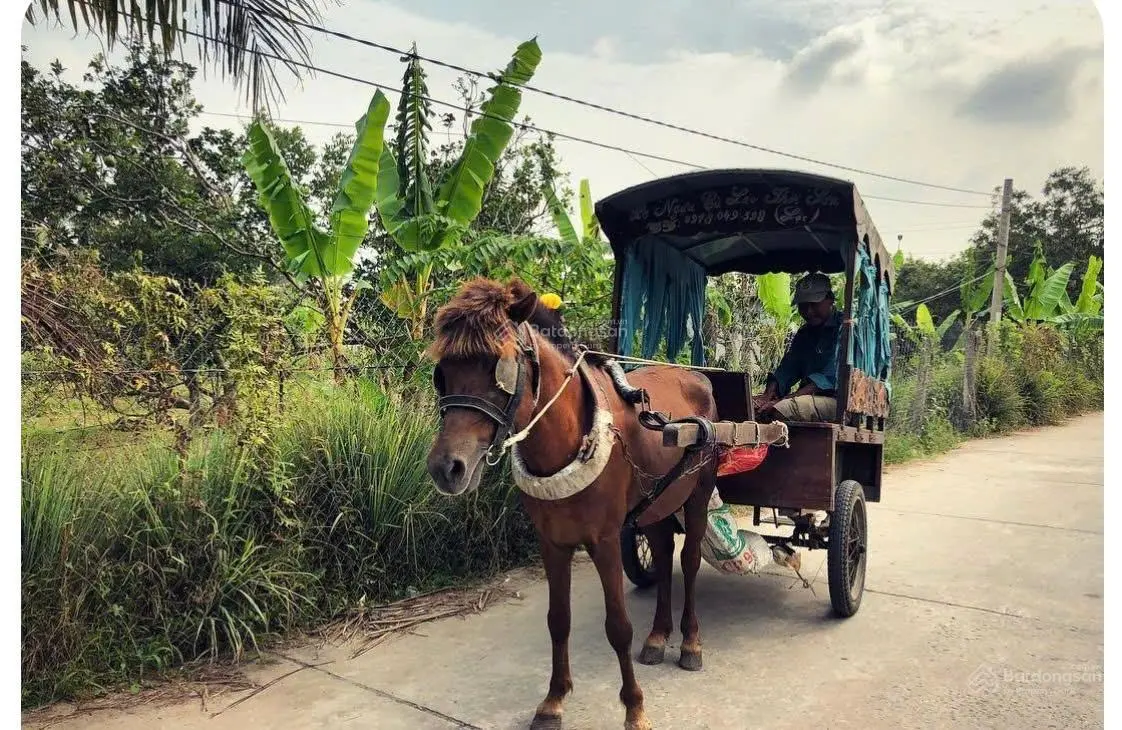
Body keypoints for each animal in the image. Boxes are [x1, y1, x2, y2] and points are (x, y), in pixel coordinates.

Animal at [421, 276, 718, 726]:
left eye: (499, 366)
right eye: (443, 373)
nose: (446, 467)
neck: (569, 439)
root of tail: (697, 378)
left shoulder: (606, 540)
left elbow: (618, 627)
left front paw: (634, 708)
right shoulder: (553, 542)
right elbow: (558, 621)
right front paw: (554, 699)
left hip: (699, 491)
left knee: (690, 559)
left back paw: (690, 643)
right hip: (657, 503)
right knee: (665, 553)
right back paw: (657, 636)